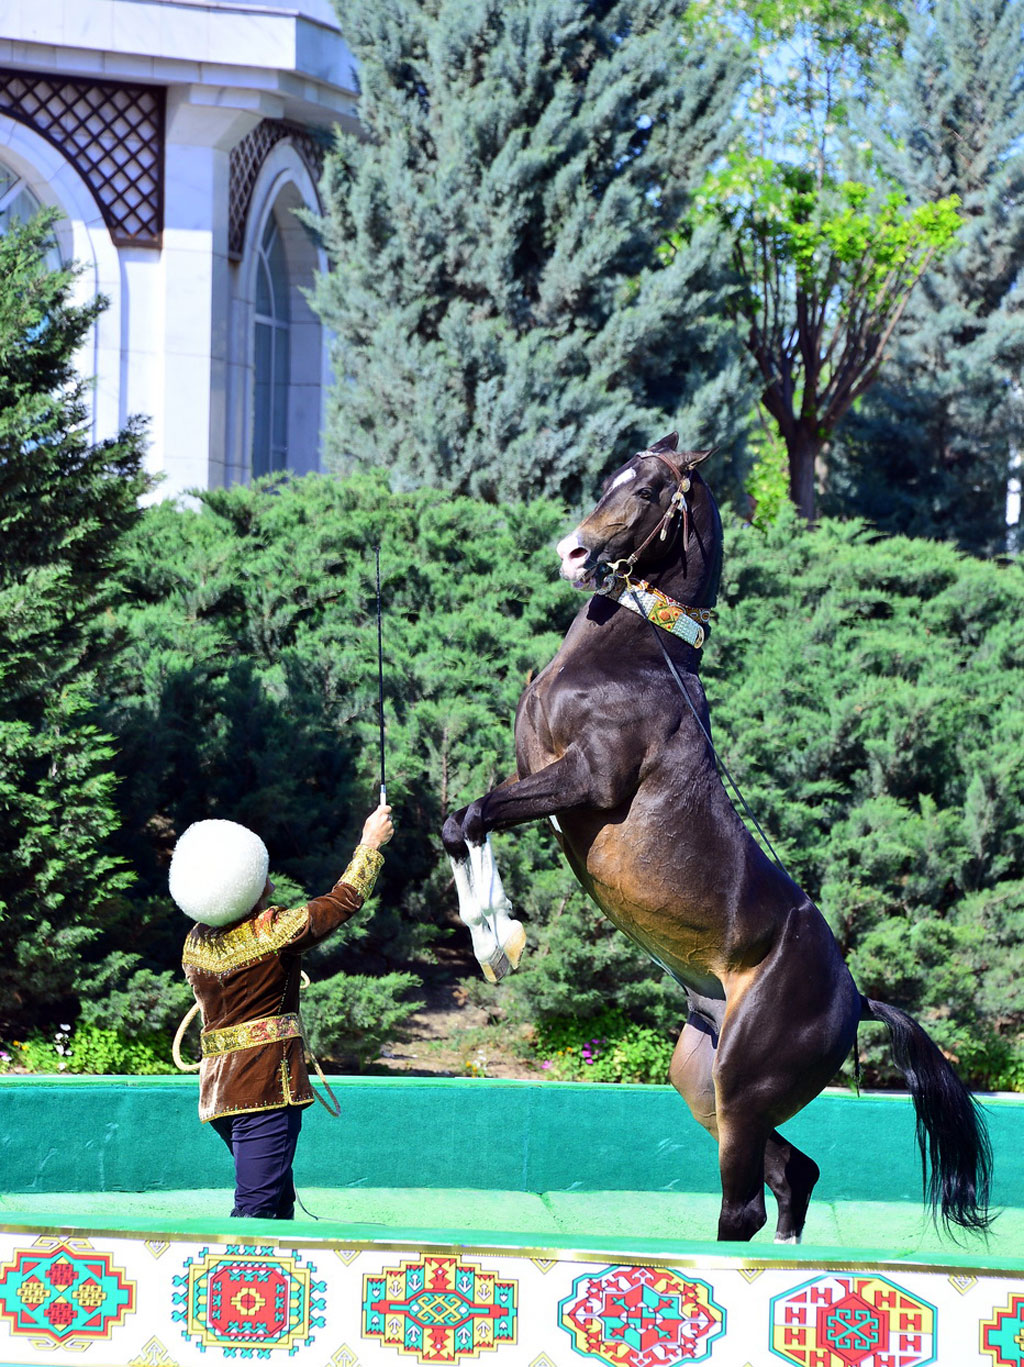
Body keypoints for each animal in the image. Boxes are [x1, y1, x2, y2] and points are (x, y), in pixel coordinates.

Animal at [440, 431, 989, 1246]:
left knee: (745, 1205)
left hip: (743, 1086)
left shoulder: (586, 781)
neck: (632, 657)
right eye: (611, 476)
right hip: (706, 1078)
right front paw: (490, 933)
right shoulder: (536, 777)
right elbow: (460, 820)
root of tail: (856, 999)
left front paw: (496, 938)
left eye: (644, 492)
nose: (573, 553)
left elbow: (474, 816)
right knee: (793, 1176)